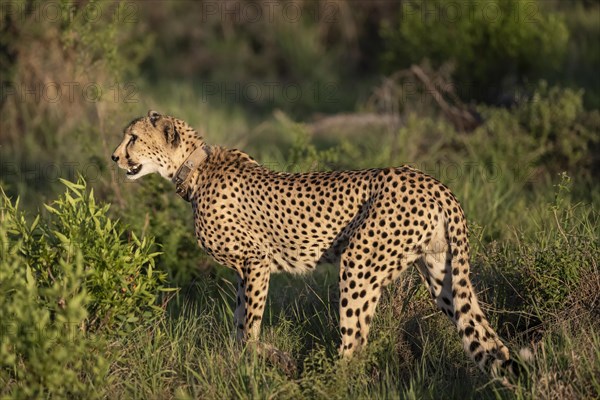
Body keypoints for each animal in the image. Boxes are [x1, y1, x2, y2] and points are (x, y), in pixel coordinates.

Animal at [115, 111, 516, 376]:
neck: (193, 168)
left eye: (133, 138)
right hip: (441, 272)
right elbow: (239, 323)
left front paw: (267, 359)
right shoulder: (247, 271)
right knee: (489, 341)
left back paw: (328, 383)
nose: (114, 156)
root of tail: (433, 182)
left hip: (359, 263)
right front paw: (243, 361)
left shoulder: (256, 262)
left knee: (354, 345)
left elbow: (249, 325)